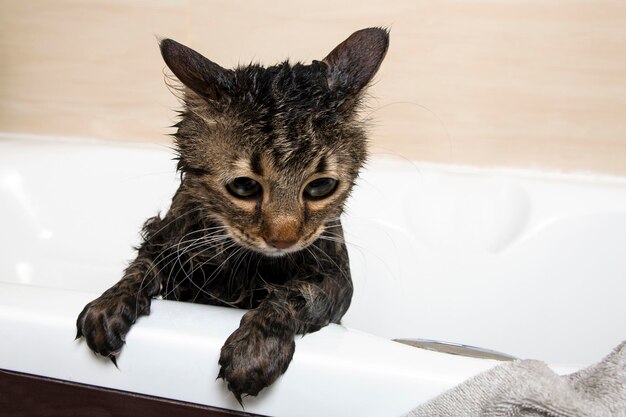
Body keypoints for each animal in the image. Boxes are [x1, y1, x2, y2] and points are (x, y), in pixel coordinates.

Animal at [75, 27, 388, 402]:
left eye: (321, 186)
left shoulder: (337, 280)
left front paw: (255, 349)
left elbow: (294, 294)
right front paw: (108, 306)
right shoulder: (165, 238)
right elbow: (139, 268)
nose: (282, 240)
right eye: (243, 186)